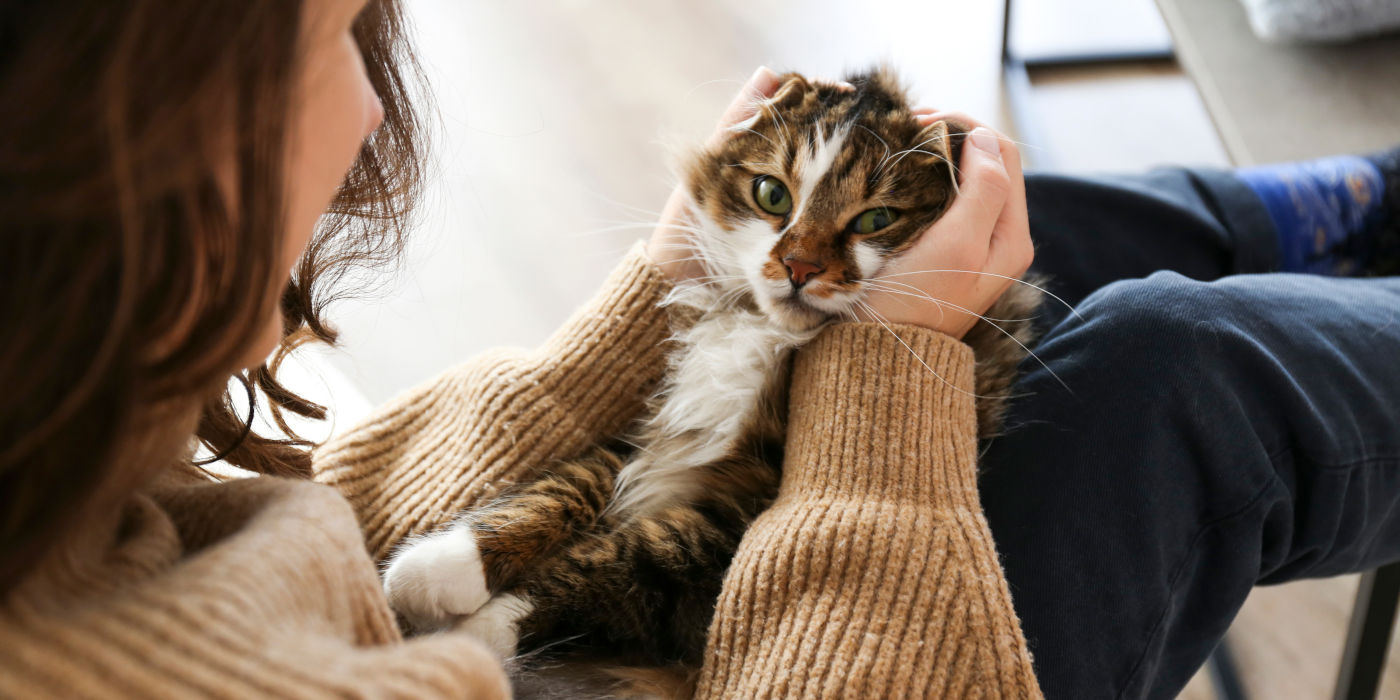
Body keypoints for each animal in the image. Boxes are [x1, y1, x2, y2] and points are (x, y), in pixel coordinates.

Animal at [380, 66, 1041, 700]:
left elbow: (614, 565)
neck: (761, 336)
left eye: (876, 219)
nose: (798, 267)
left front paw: (465, 638)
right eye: (773, 195)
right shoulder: (655, 427)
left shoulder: (726, 528)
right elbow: (566, 486)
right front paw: (440, 566)